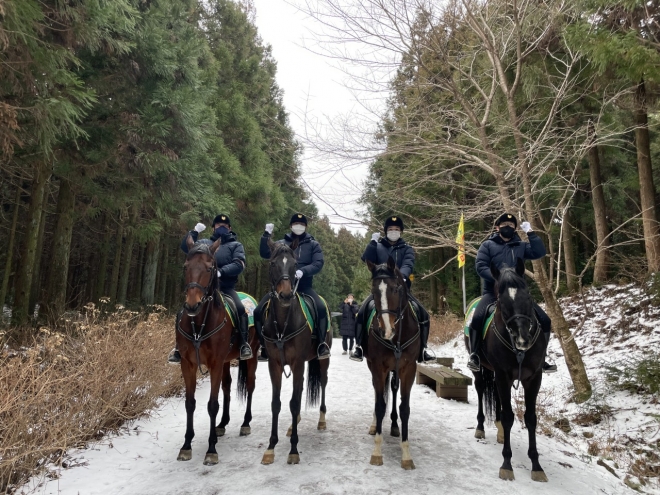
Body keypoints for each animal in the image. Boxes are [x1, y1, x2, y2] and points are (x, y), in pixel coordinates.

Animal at [175, 236, 260, 464]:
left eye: (209, 268)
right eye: (185, 266)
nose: (192, 305)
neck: (199, 324)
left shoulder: (214, 364)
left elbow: (212, 404)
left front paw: (211, 449)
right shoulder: (188, 364)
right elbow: (190, 403)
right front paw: (186, 446)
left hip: (251, 356)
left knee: (250, 386)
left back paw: (245, 424)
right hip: (225, 362)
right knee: (227, 387)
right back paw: (222, 425)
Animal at [258, 238, 330, 466]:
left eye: (295, 264)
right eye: (272, 263)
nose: (286, 294)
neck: (283, 322)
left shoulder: (297, 363)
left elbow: (295, 403)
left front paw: (293, 450)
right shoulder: (274, 364)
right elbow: (277, 404)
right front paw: (271, 448)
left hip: (322, 361)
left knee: (323, 383)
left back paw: (321, 420)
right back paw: (293, 424)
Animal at [364, 258, 420, 470]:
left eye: (396, 289)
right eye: (373, 290)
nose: (385, 330)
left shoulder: (409, 369)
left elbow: (405, 408)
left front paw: (406, 454)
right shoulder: (378, 367)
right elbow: (380, 404)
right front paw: (377, 452)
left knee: (394, 391)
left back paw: (395, 426)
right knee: (377, 392)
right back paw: (375, 424)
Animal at [466, 258, 548, 482]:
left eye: (528, 296)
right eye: (502, 302)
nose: (522, 339)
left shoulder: (533, 378)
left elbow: (530, 418)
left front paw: (537, 465)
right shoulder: (503, 375)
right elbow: (510, 416)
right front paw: (507, 464)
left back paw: (501, 432)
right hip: (481, 371)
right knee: (480, 389)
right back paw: (480, 427)